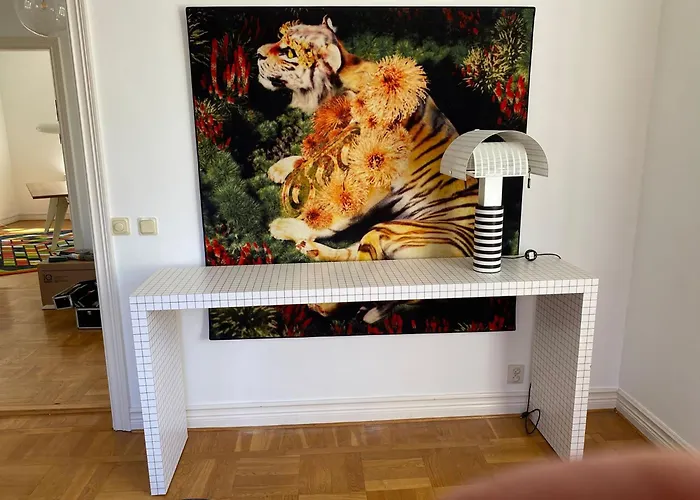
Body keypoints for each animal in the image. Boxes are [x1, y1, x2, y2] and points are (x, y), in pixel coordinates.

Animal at [257, 17, 479, 322]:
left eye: (289, 51)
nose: (256, 54)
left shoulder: (373, 175)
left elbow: (337, 214)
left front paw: (292, 223)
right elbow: (316, 159)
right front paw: (284, 169)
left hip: (391, 229)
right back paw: (313, 262)